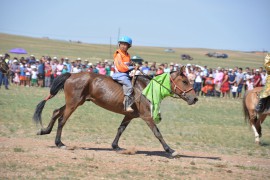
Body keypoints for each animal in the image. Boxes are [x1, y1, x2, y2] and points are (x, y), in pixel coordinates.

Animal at [33, 66, 198, 158]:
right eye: (185, 81)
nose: (195, 98)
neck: (146, 88)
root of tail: (72, 74)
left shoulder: (129, 115)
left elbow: (120, 129)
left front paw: (115, 146)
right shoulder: (146, 116)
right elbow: (157, 133)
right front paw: (170, 150)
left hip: (74, 102)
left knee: (56, 112)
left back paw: (44, 131)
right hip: (73, 104)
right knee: (62, 120)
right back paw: (59, 143)